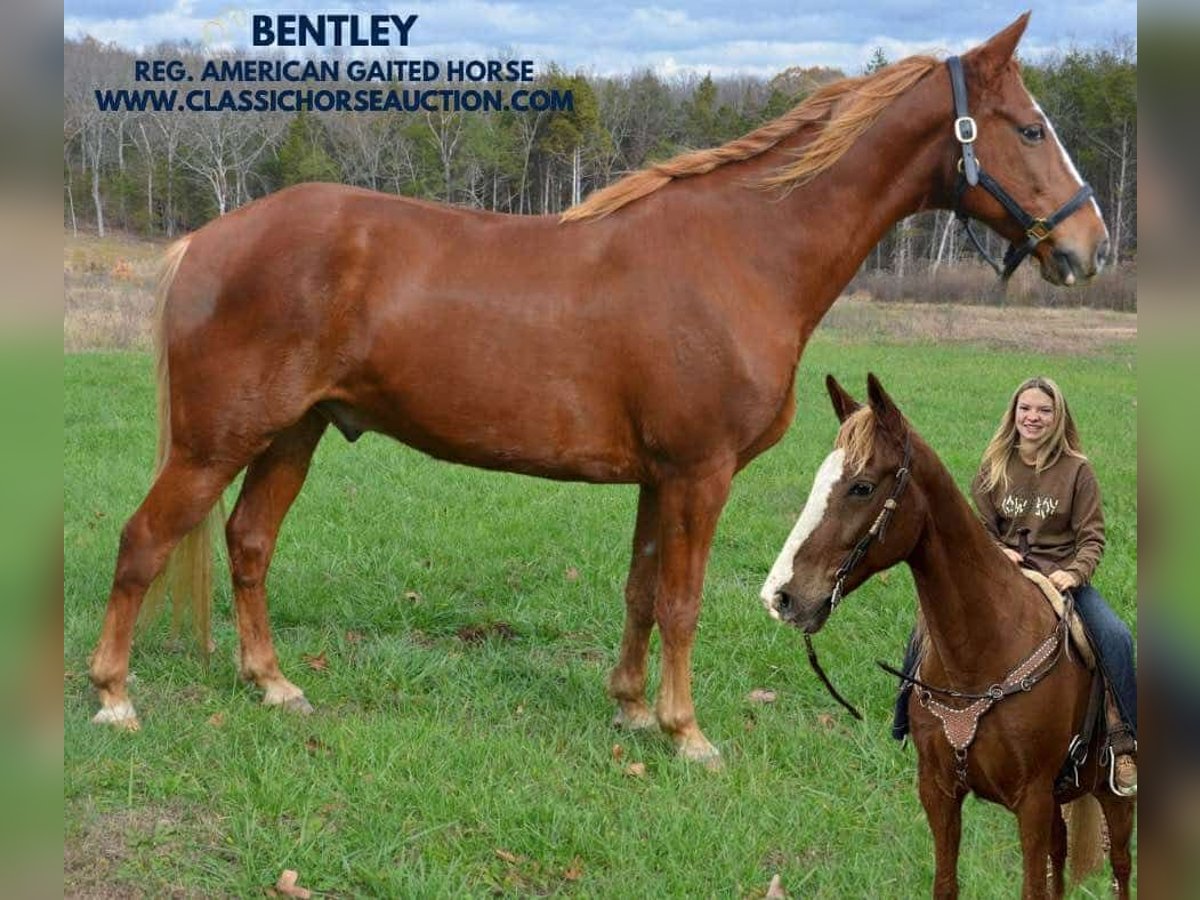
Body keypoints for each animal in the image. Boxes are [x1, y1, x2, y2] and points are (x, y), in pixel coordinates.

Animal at [758, 374, 1132, 897]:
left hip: (1115, 797)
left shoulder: (1033, 801)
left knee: (1121, 866)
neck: (978, 655)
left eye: (861, 487)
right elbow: (948, 883)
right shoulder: (938, 792)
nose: (781, 596)